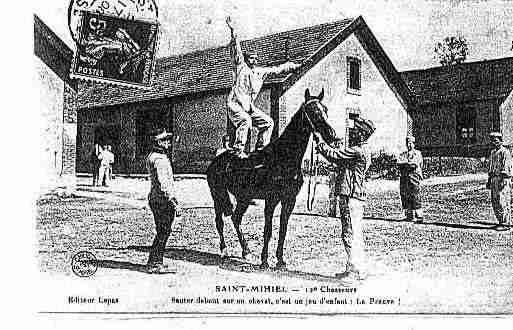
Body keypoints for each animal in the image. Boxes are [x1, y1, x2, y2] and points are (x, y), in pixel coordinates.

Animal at [206, 89, 338, 270]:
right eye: (312, 111)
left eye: (325, 109)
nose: (332, 136)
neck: (284, 157)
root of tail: (215, 161)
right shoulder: (271, 200)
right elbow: (267, 230)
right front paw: (264, 260)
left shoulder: (289, 200)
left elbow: (283, 229)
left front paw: (280, 260)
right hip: (218, 195)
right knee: (220, 221)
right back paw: (224, 251)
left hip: (244, 198)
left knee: (236, 219)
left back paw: (246, 251)